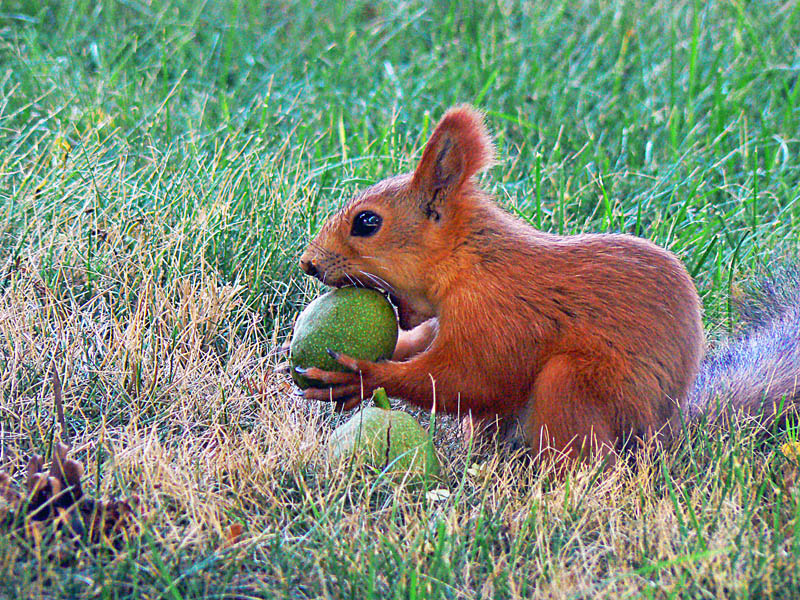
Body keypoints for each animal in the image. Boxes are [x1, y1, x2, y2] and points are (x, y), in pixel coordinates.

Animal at [294, 105, 800, 462]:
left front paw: (363, 377)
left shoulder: (495, 312)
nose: (308, 264)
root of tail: (664, 432)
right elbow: (423, 347)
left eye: (367, 222)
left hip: (577, 386)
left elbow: (470, 379)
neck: (467, 260)